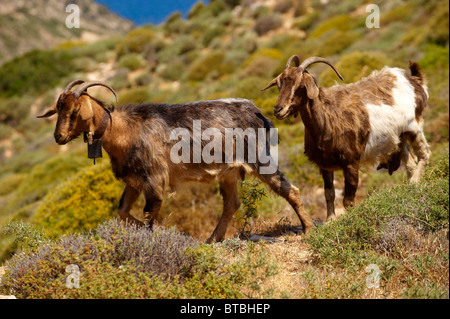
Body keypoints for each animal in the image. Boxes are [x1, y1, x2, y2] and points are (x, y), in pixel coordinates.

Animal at [37, 80, 312, 242]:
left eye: (74, 111)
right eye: (58, 110)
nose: (59, 136)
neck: (125, 130)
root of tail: (258, 113)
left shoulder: (155, 178)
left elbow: (150, 212)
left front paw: (153, 236)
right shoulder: (134, 180)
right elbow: (122, 211)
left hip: (257, 158)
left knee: (289, 189)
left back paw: (309, 228)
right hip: (229, 172)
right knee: (232, 204)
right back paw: (213, 239)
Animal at [262, 55, 430, 222]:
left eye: (300, 85)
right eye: (279, 84)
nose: (278, 109)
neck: (327, 120)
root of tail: (414, 80)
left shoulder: (350, 162)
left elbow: (348, 200)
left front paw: (351, 220)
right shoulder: (324, 165)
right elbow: (329, 194)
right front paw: (330, 220)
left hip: (414, 126)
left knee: (425, 154)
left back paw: (415, 183)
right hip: (400, 137)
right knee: (410, 164)